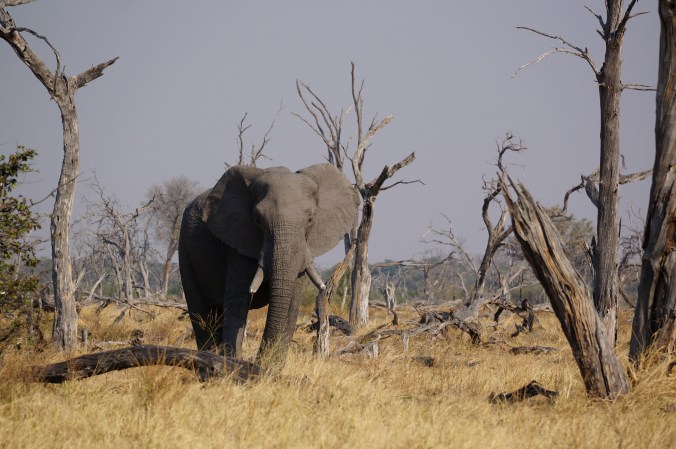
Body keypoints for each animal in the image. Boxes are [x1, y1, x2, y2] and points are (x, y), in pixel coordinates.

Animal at [178, 163, 360, 367]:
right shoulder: (238, 241)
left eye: (311, 219)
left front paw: (271, 368)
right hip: (185, 249)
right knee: (202, 315)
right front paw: (233, 366)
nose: (258, 360)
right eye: (257, 219)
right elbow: (237, 304)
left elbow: (291, 306)